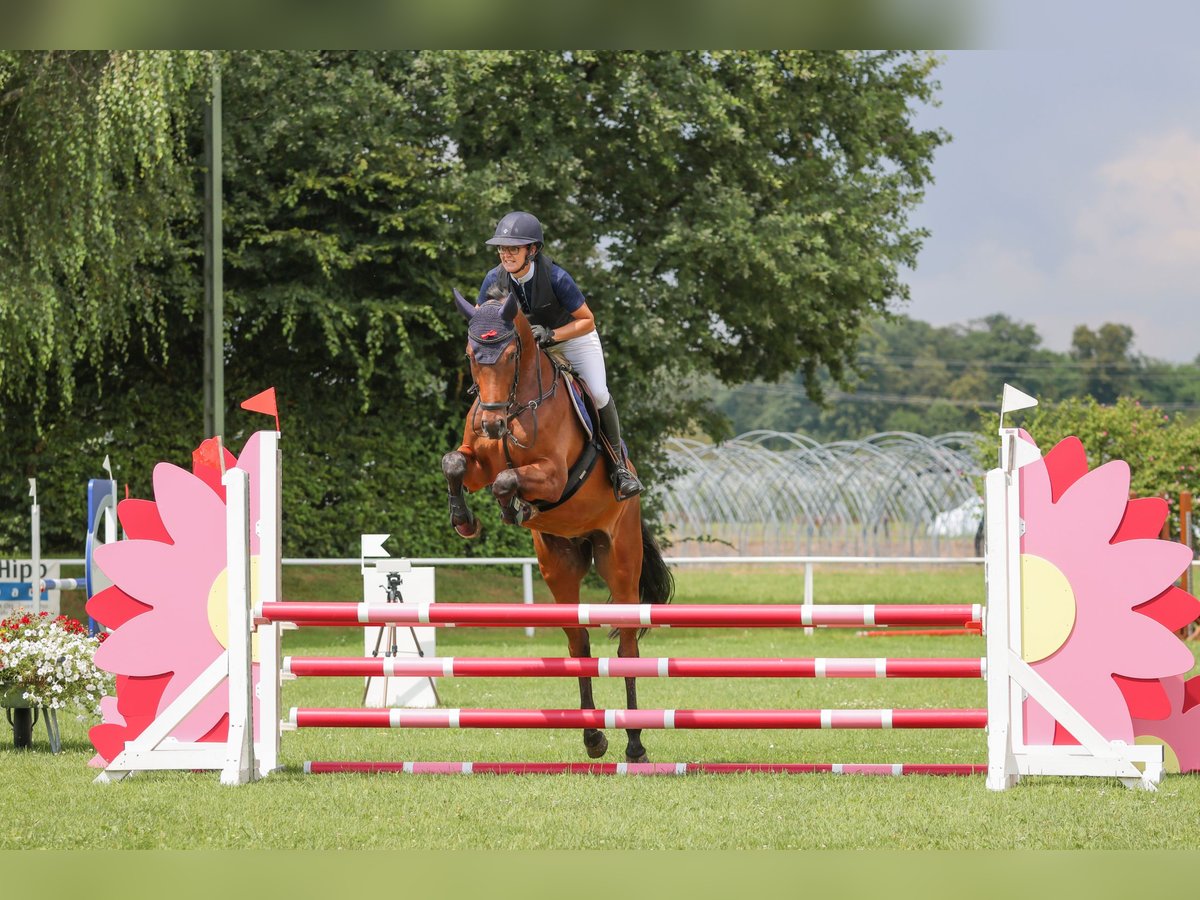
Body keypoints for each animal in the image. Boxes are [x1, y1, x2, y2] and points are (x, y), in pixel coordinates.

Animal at [441, 286, 676, 763]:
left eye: (512, 353)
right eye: (471, 354)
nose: (492, 424)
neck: (516, 404)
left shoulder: (552, 476)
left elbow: (508, 479)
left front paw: (514, 508)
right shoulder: (476, 464)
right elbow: (455, 463)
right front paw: (465, 520)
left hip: (619, 560)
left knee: (626, 646)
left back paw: (635, 743)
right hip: (559, 564)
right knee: (578, 642)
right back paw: (593, 737)